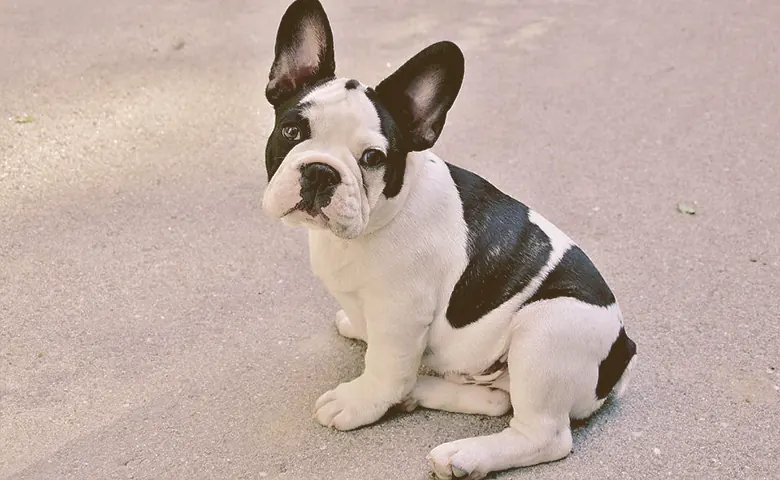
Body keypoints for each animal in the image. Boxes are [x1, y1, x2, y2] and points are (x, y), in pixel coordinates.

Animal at [258, 1, 636, 478]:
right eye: (292, 131)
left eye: (373, 158)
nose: (321, 170)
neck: (379, 217)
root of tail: (623, 349)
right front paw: (358, 330)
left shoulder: (400, 313)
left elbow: (384, 365)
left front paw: (360, 401)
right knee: (496, 401)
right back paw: (420, 393)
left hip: (547, 329)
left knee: (543, 434)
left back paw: (464, 454)